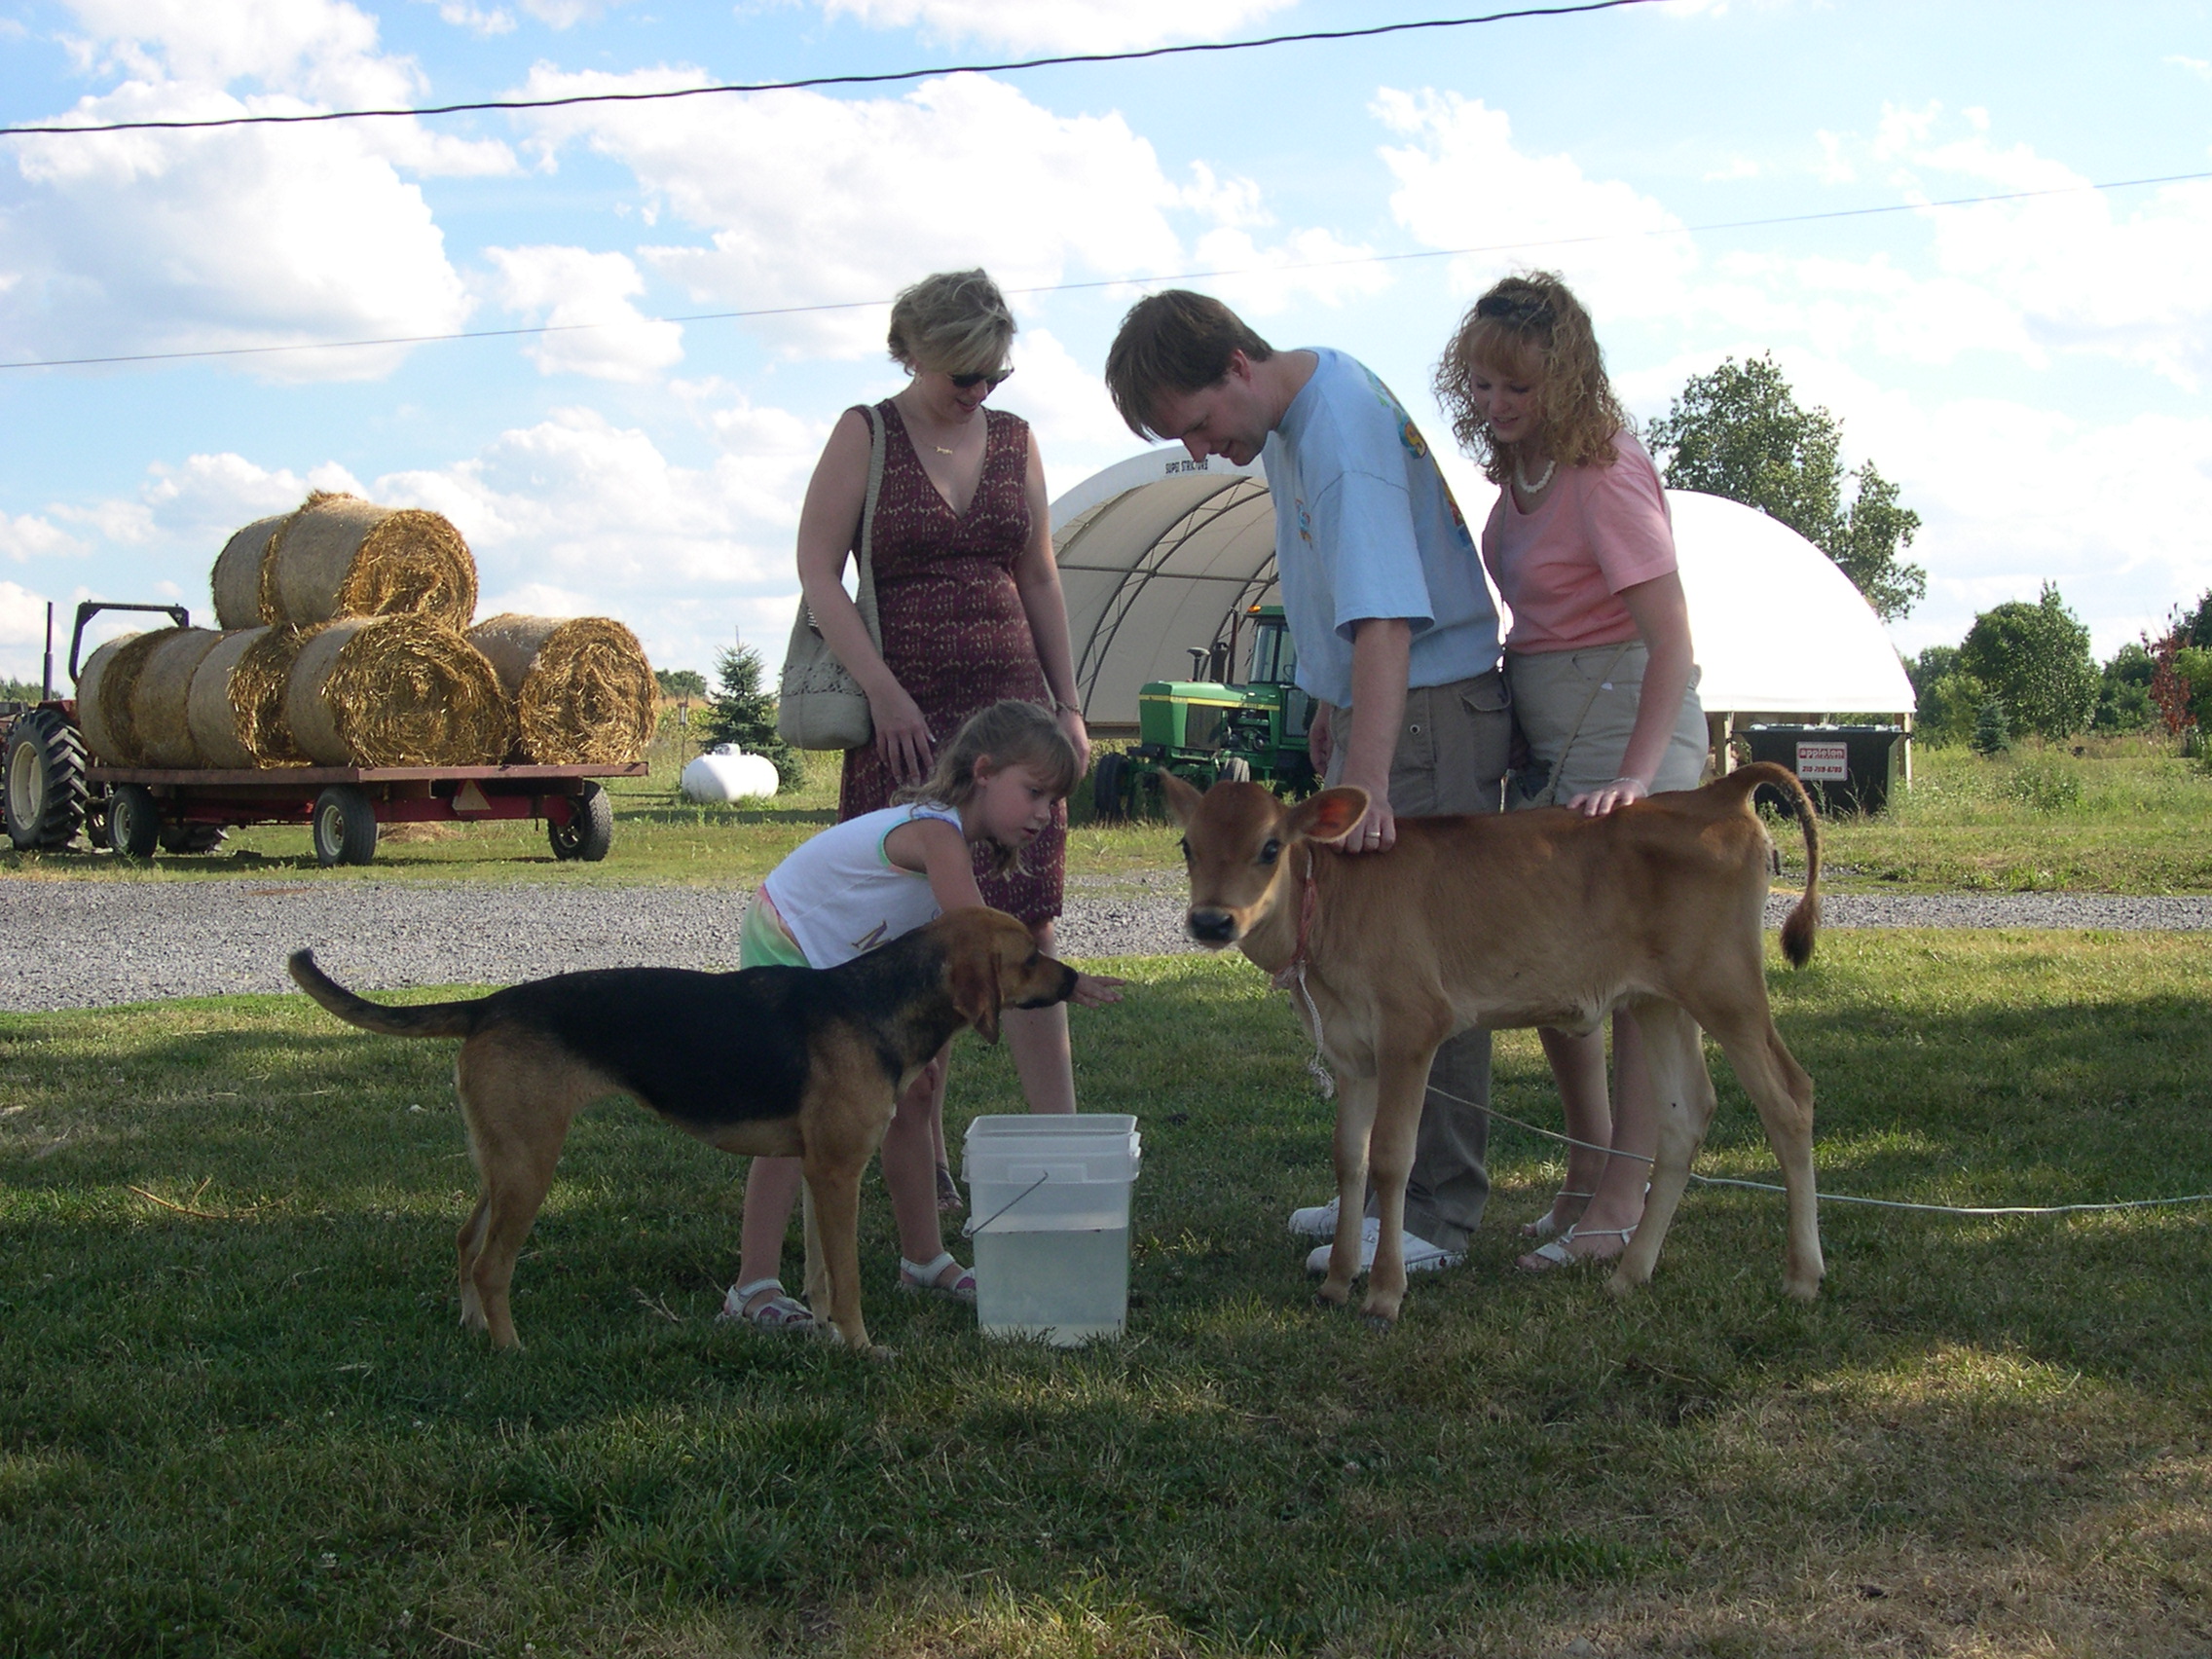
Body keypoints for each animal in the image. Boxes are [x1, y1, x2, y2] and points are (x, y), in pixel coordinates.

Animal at [285, 911, 1070, 1362]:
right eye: (1028, 957)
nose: (1073, 979)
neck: (879, 1000)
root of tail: (490, 1004)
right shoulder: (839, 1173)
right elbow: (845, 1280)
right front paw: (862, 1347)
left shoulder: (820, 1172)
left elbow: (821, 1274)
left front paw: (827, 1340)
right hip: (532, 1166)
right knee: (490, 1264)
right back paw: (512, 1351)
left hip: (501, 1162)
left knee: (461, 1241)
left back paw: (474, 1331)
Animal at [1167, 765, 1823, 1327]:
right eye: (1187, 846)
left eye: (1270, 847)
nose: (1211, 921)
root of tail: (1715, 792)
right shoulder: (1353, 1053)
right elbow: (1348, 1158)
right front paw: (1336, 1281)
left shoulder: (1412, 1028)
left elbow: (1391, 1158)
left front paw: (1383, 1294)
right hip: (1657, 1001)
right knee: (1686, 1113)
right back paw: (1629, 1275)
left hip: (1726, 984)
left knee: (1790, 1098)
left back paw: (1802, 1276)